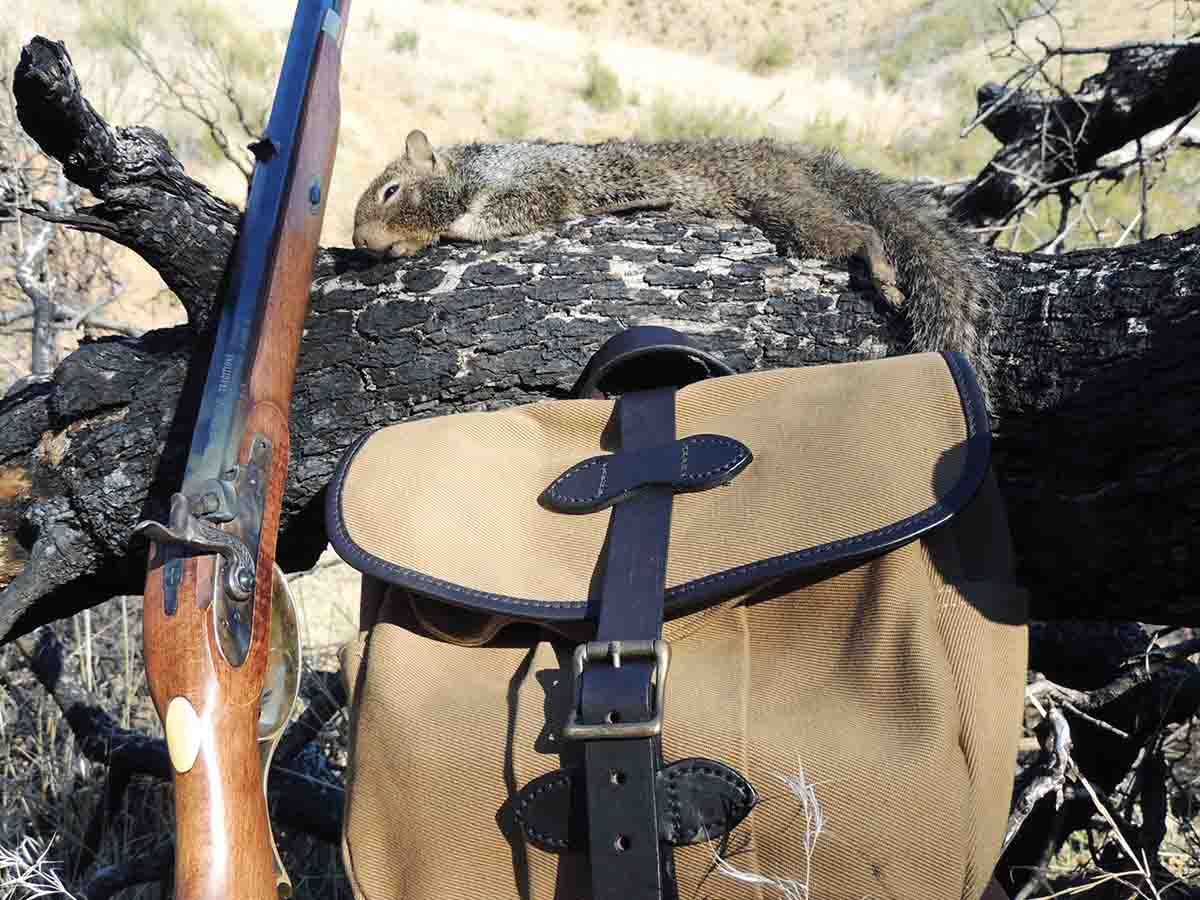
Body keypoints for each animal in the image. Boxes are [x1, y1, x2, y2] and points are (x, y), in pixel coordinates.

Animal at [353, 130, 998, 399]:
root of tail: (791, 158)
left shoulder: (535, 185)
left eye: (390, 190)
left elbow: (503, 212)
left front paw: (447, 229)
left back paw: (882, 269)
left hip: (784, 205)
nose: (361, 242)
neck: (472, 166)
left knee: (859, 233)